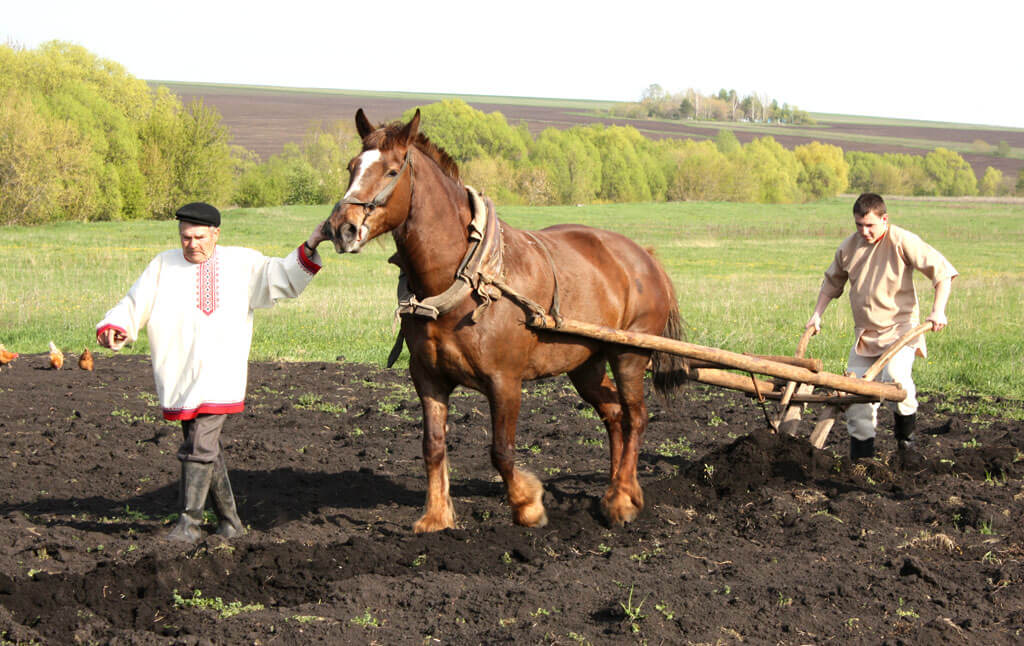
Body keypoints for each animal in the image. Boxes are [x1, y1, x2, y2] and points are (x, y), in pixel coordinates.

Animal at [327, 111, 688, 532]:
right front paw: (435, 516)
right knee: (614, 415)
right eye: (351, 167)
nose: (342, 228)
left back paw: (622, 500)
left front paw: (528, 505)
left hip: (629, 354)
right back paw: (617, 490)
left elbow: (501, 450)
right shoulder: (428, 377)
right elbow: (433, 446)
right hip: (586, 363)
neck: (466, 278)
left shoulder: (505, 382)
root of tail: (645, 257)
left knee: (636, 417)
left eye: (391, 170)